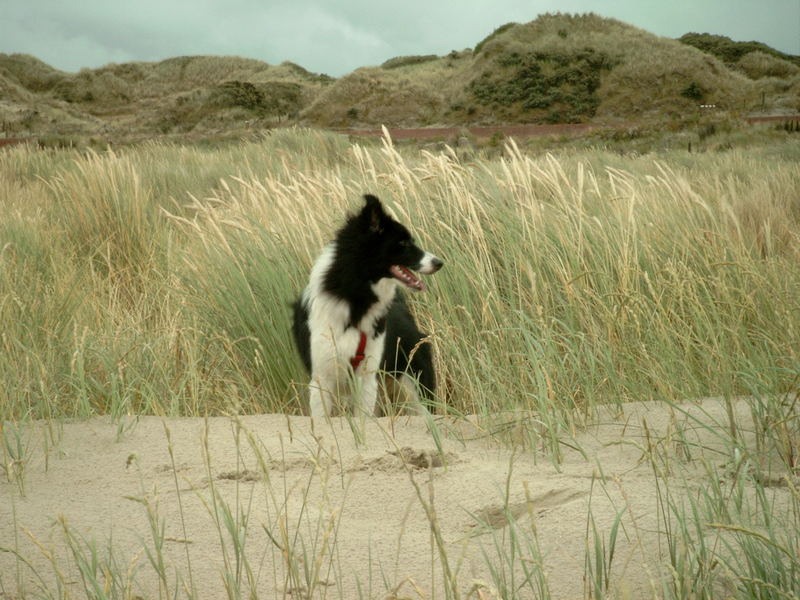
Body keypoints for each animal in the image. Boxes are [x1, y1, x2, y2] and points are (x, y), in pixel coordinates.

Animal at [292, 195, 444, 414]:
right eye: (403, 243)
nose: (439, 263)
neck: (354, 300)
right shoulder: (322, 378)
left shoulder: (366, 376)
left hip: (413, 382)